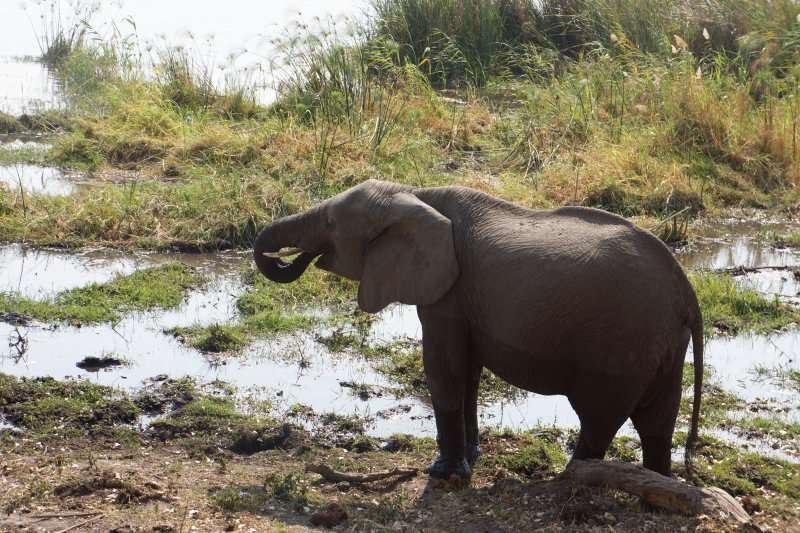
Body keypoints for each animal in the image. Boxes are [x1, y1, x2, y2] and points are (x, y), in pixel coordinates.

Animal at [253, 178, 704, 478]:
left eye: (330, 221)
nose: (286, 257)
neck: (414, 195)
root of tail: (688, 295)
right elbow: (468, 374)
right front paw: (471, 458)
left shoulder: (447, 298)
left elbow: (444, 370)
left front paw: (442, 472)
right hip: (663, 345)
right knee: (657, 423)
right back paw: (657, 484)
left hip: (621, 346)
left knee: (599, 418)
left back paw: (565, 482)